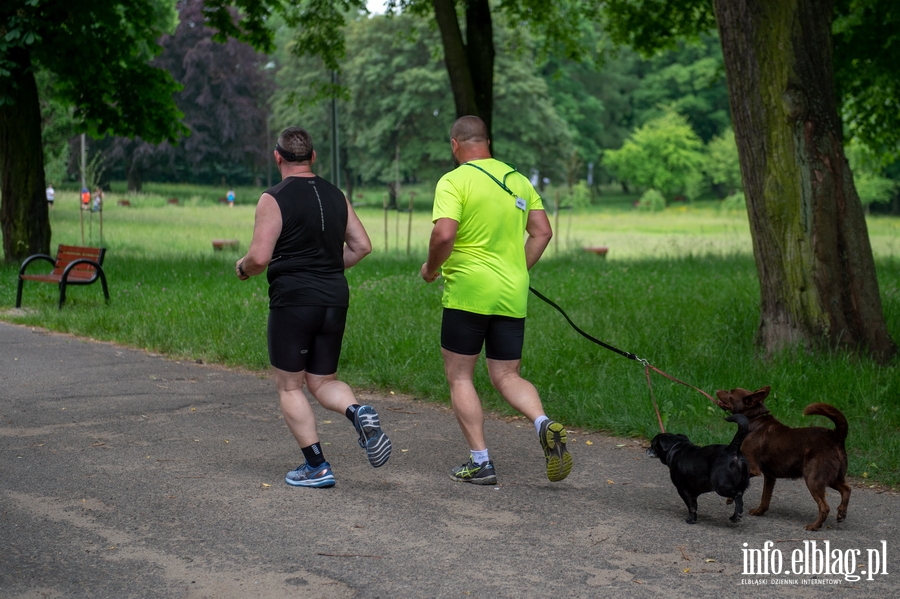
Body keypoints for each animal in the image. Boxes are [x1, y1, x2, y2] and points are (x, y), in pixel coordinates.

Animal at [712, 386, 852, 532]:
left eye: (731, 393)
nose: (717, 389)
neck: (754, 419)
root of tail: (835, 436)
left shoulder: (754, 469)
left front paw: (730, 497)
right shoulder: (769, 477)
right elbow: (765, 498)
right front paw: (758, 512)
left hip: (813, 479)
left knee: (825, 507)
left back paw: (814, 526)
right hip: (831, 477)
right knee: (846, 489)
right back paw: (841, 513)